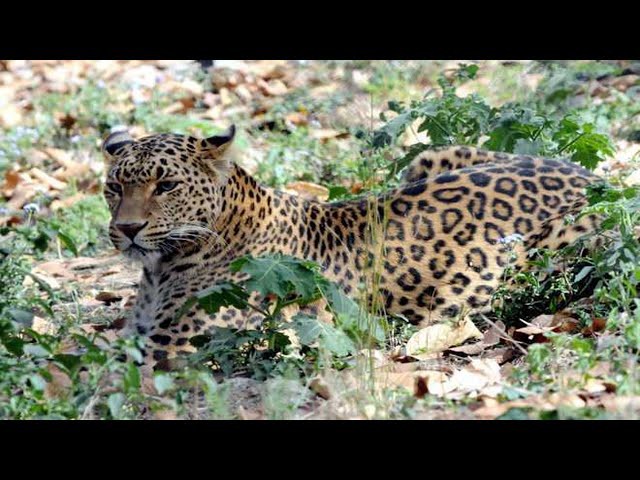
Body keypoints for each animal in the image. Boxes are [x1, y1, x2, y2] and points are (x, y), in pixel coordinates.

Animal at [102, 125, 604, 366]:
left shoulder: (171, 348)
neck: (161, 268)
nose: (126, 228)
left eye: (166, 186)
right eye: (114, 186)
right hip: (434, 155)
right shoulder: (141, 334)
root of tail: (596, 178)